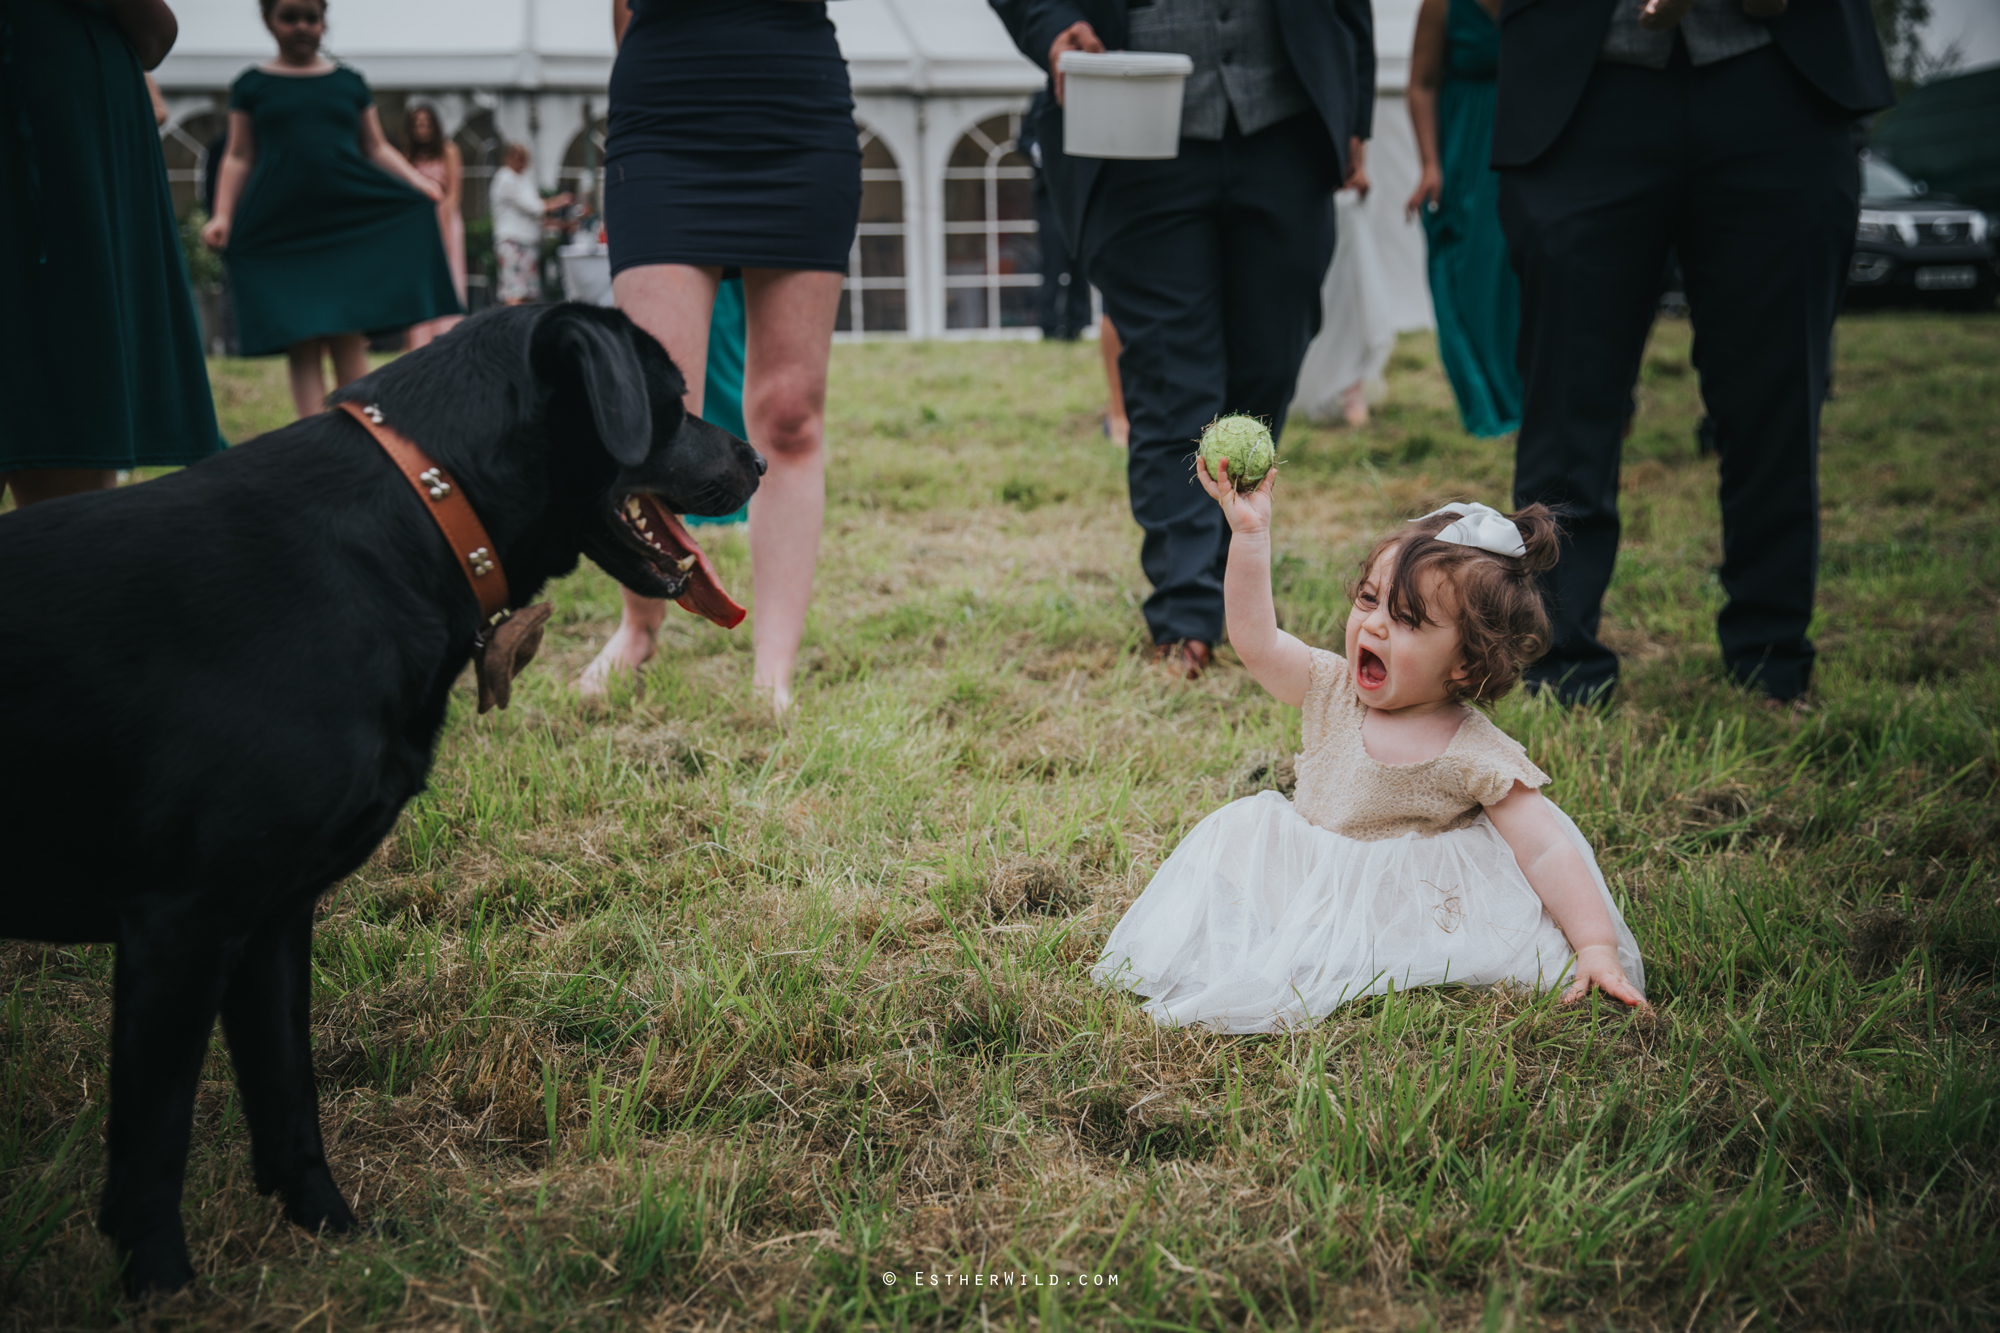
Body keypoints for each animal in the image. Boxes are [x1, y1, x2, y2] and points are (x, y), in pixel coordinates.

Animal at [0, 298, 760, 1288]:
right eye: (670, 398)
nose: (757, 459)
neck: (424, 505)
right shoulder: (181, 920)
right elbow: (155, 1132)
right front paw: (162, 1282)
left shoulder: (270, 918)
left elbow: (289, 1091)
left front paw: (334, 1233)